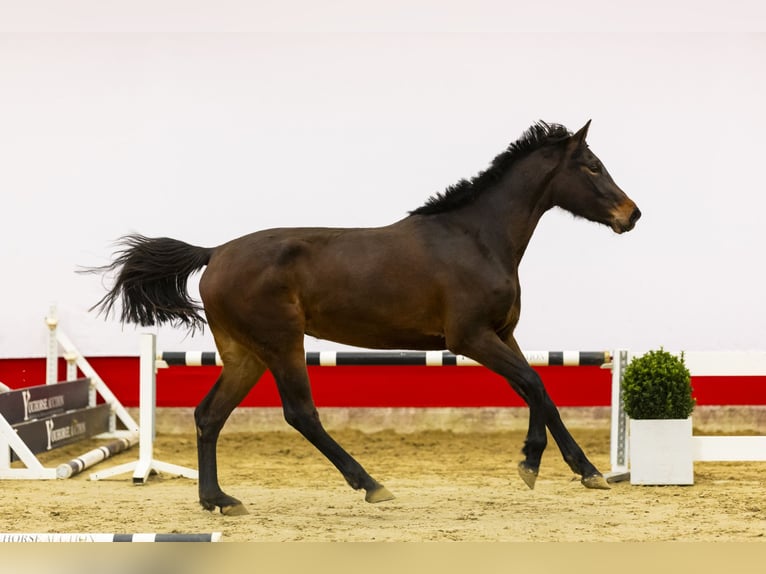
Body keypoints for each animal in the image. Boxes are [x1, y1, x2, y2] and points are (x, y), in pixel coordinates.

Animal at [90, 122, 640, 516]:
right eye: (592, 166)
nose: (631, 214)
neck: (477, 238)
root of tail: (214, 253)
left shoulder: (503, 334)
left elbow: (536, 390)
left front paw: (567, 467)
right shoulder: (471, 338)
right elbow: (535, 384)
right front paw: (549, 465)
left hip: (244, 353)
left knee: (209, 415)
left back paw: (219, 501)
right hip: (281, 343)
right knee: (300, 413)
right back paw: (371, 485)